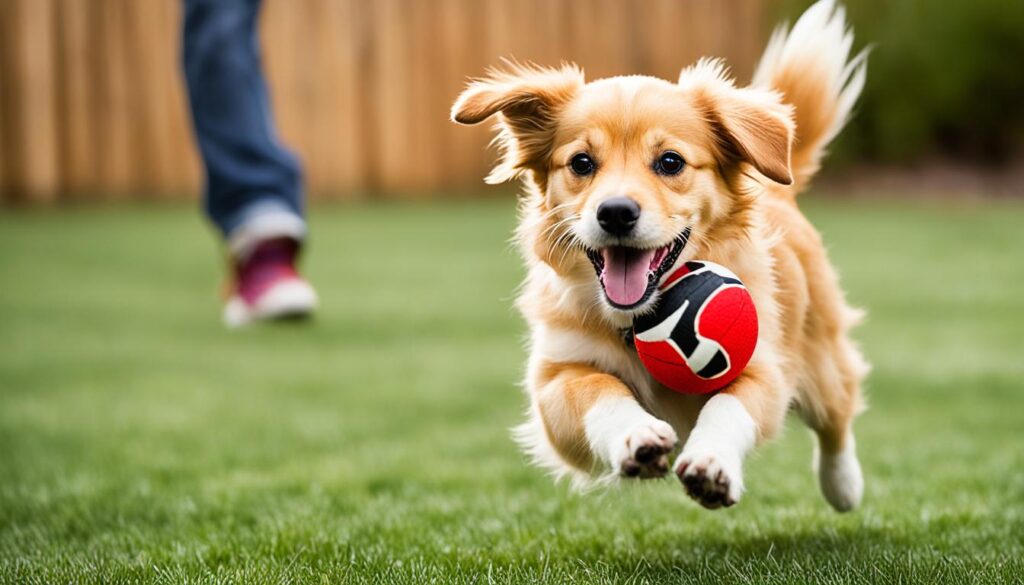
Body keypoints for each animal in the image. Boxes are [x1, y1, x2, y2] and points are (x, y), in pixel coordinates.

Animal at [452, 0, 868, 510]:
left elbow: (727, 405)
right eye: (581, 163)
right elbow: (598, 390)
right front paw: (637, 437)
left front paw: (712, 463)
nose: (615, 212)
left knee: (837, 416)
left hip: (820, 357)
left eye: (670, 162)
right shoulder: (556, 378)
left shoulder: (763, 369)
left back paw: (843, 485)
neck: (635, 317)